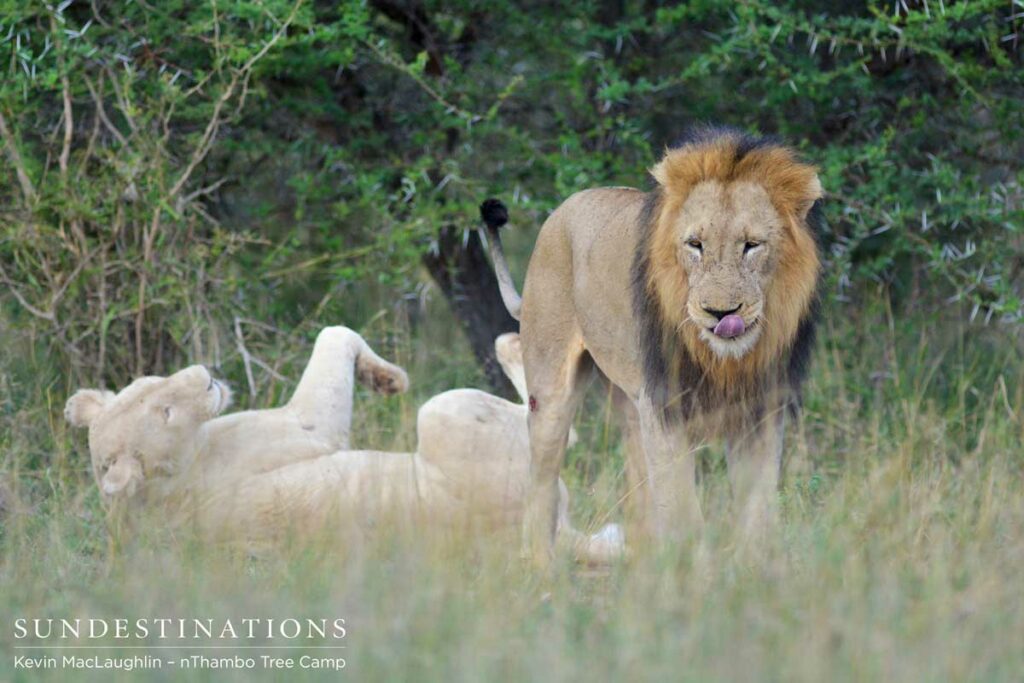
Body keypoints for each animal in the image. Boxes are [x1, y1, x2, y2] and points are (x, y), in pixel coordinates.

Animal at [65, 326, 622, 563]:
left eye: (154, 384)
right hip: (444, 411)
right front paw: (392, 378)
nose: (205, 376)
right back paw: (522, 342)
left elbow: (334, 334)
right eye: (165, 411)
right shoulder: (308, 427)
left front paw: (383, 378)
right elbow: (332, 337)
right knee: (556, 423)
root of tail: (554, 535)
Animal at [481, 125, 823, 563]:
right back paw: (541, 567)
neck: (723, 361)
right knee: (542, 480)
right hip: (552, 387)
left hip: (628, 399)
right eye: (695, 244)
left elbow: (757, 510)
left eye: (752, 245)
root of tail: (563, 209)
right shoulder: (664, 404)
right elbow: (683, 513)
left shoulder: (762, 408)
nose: (720, 313)